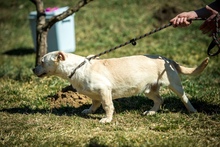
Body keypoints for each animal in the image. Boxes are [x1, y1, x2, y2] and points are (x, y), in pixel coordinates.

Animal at [32, 51, 208, 123]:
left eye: (42, 62)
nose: (33, 69)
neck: (77, 68)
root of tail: (168, 59)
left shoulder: (104, 91)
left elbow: (107, 106)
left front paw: (107, 119)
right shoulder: (95, 94)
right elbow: (94, 104)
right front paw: (89, 111)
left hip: (174, 85)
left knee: (184, 97)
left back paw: (192, 110)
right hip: (149, 89)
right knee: (159, 100)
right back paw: (151, 112)